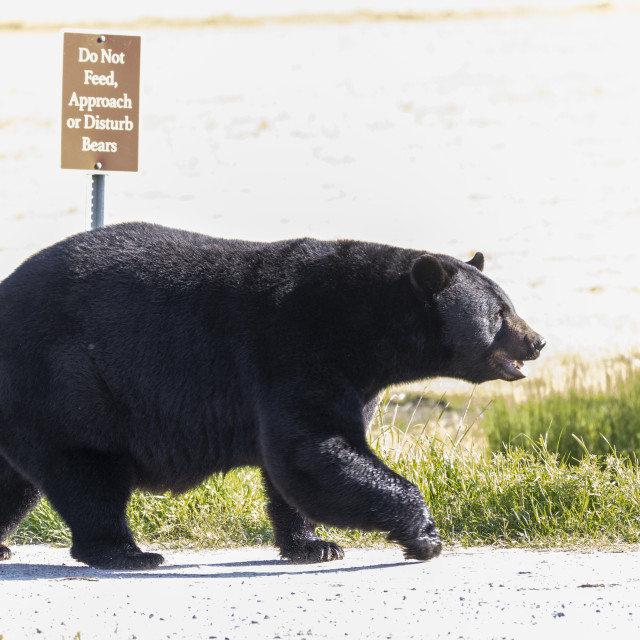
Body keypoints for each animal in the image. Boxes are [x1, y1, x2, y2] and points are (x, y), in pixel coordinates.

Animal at [0, 224, 544, 568]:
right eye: (498, 314)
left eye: (508, 304)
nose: (537, 341)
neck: (365, 326)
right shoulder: (294, 346)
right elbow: (314, 449)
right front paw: (423, 537)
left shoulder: (348, 377)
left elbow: (295, 465)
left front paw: (315, 545)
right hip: (64, 384)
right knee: (87, 472)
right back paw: (126, 553)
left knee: (16, 482)